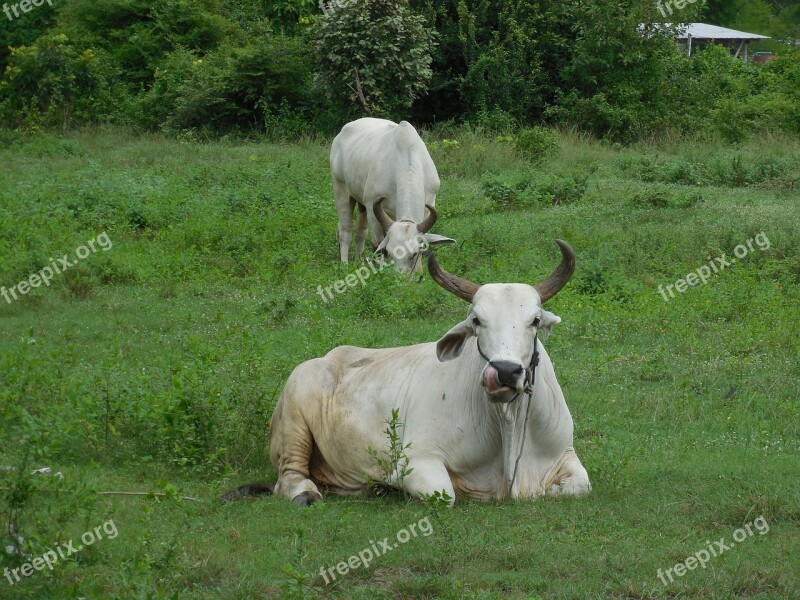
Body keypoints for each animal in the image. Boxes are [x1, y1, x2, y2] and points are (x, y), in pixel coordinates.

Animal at [222, 241, 592, 504]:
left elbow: (580, 486)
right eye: (476, 320)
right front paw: (394, 487)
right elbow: (445, 494)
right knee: (289, 478)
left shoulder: (566, 454)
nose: (503, 372)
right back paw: (309, 492)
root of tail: (323, 360)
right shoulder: (420, 461)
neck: (509, 426)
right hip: (294, 421)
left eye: (534, 321)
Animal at [332, 117, 456, 272]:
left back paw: (358, 261)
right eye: (390, 252)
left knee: (360, 232)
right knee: (345, 230)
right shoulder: (372, 208)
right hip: (341, 187)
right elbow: (377, 245)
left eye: (414, 254)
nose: (400, 277)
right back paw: (344, 264)